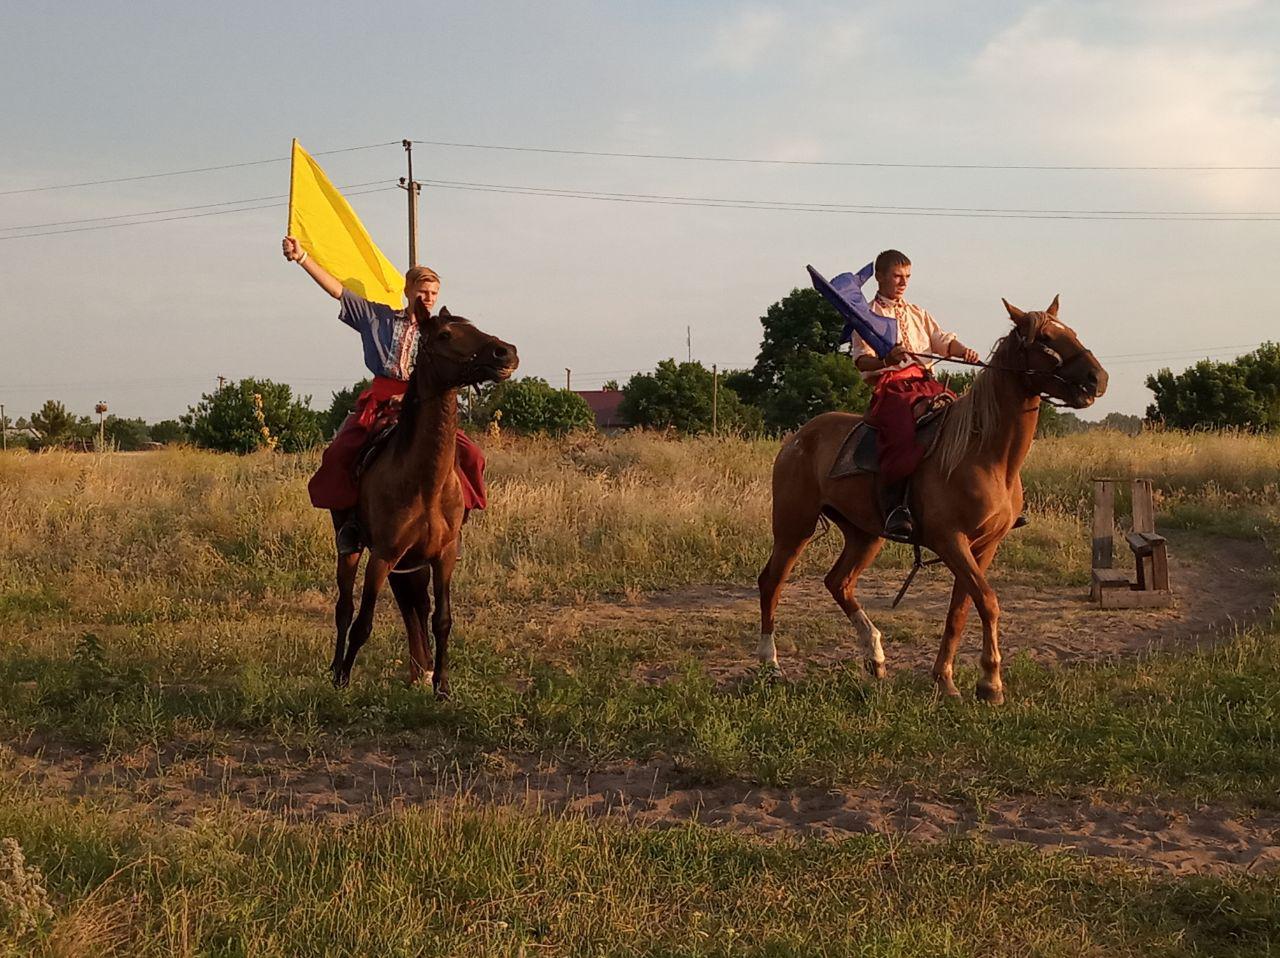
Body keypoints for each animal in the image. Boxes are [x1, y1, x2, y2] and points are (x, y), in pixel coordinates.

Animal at [330, 307, 519, 696]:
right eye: (445, 335)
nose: (505, 353)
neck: (424, 483)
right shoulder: (382, 557)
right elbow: (363, 622)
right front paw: (344, 680)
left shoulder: (442, 557)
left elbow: (441, 619)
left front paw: (441, 686)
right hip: (352, 549)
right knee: (345, 607)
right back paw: (338, 669)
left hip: (411, 564)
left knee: (413, 607)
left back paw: (421, 670)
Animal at [757, 295, 1111, 701]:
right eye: (1045, 340)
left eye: (1071, 332)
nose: (1097, 379)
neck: (984, 454)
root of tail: (798, 438)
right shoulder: (950, 541)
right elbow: (988, 602)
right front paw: (991, 683)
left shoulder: (984, 546)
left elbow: (961, 610)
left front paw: (946, 678)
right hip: (793, 527)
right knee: (771, 583)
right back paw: (771, 664)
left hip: (864, 535)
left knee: (838, 582)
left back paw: (875, 657)